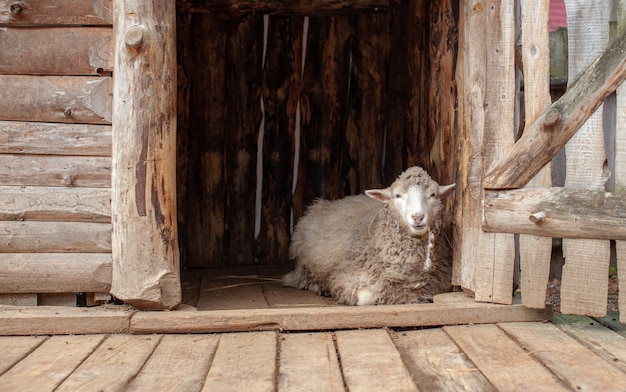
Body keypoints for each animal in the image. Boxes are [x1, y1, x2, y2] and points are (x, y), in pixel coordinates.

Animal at [282, 166, 454, 306]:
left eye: (433, 195)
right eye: (398, 195)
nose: (417, 217)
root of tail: (321, 205)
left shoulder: (438, 284)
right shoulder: (349, 277)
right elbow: (364, 297)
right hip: (305, 261)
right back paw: (319, 287)